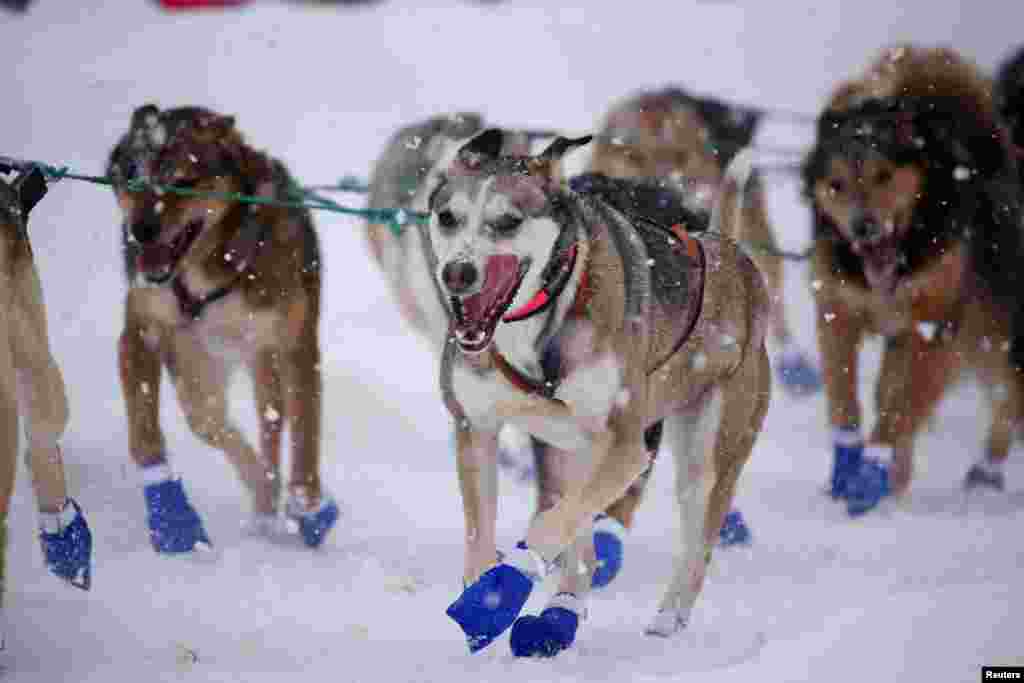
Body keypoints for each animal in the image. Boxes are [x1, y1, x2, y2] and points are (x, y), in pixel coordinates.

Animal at [110, 107, 337, 552]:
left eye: (182, 180)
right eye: (132, 177)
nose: (141, 229)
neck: (211, 269)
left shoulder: (296, 346)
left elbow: (304, 434)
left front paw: (309, 507)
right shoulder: (140, 331)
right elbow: (144, 437)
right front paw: (171, 519)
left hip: (263, 356)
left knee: (272, 423)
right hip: (197, 368)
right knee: (213, 421)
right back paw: (263, 499)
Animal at [430, 129, 770, 655]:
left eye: (507, 221)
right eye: (448, 217)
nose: (457, 274)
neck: (536, 321)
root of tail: (729, 251)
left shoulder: (628, 448)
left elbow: (549, 526)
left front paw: (499, 592)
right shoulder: (476, 427)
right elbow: (484, 532)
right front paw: (486, 591)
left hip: (707, 453)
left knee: (698, 540)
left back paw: (666, 616)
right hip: (570, 450)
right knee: (580, 533)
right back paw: (561, 613)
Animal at [798, 45, 1024, 511]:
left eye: (884, 175)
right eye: (836, 184)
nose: (864, 226)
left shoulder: (932, 327)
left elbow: (899, 410)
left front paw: (874, 472)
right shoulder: (837, 310)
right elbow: (845, 397)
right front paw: (847, 467)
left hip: (989, 332)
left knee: (1008, 395)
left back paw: (984, 472)